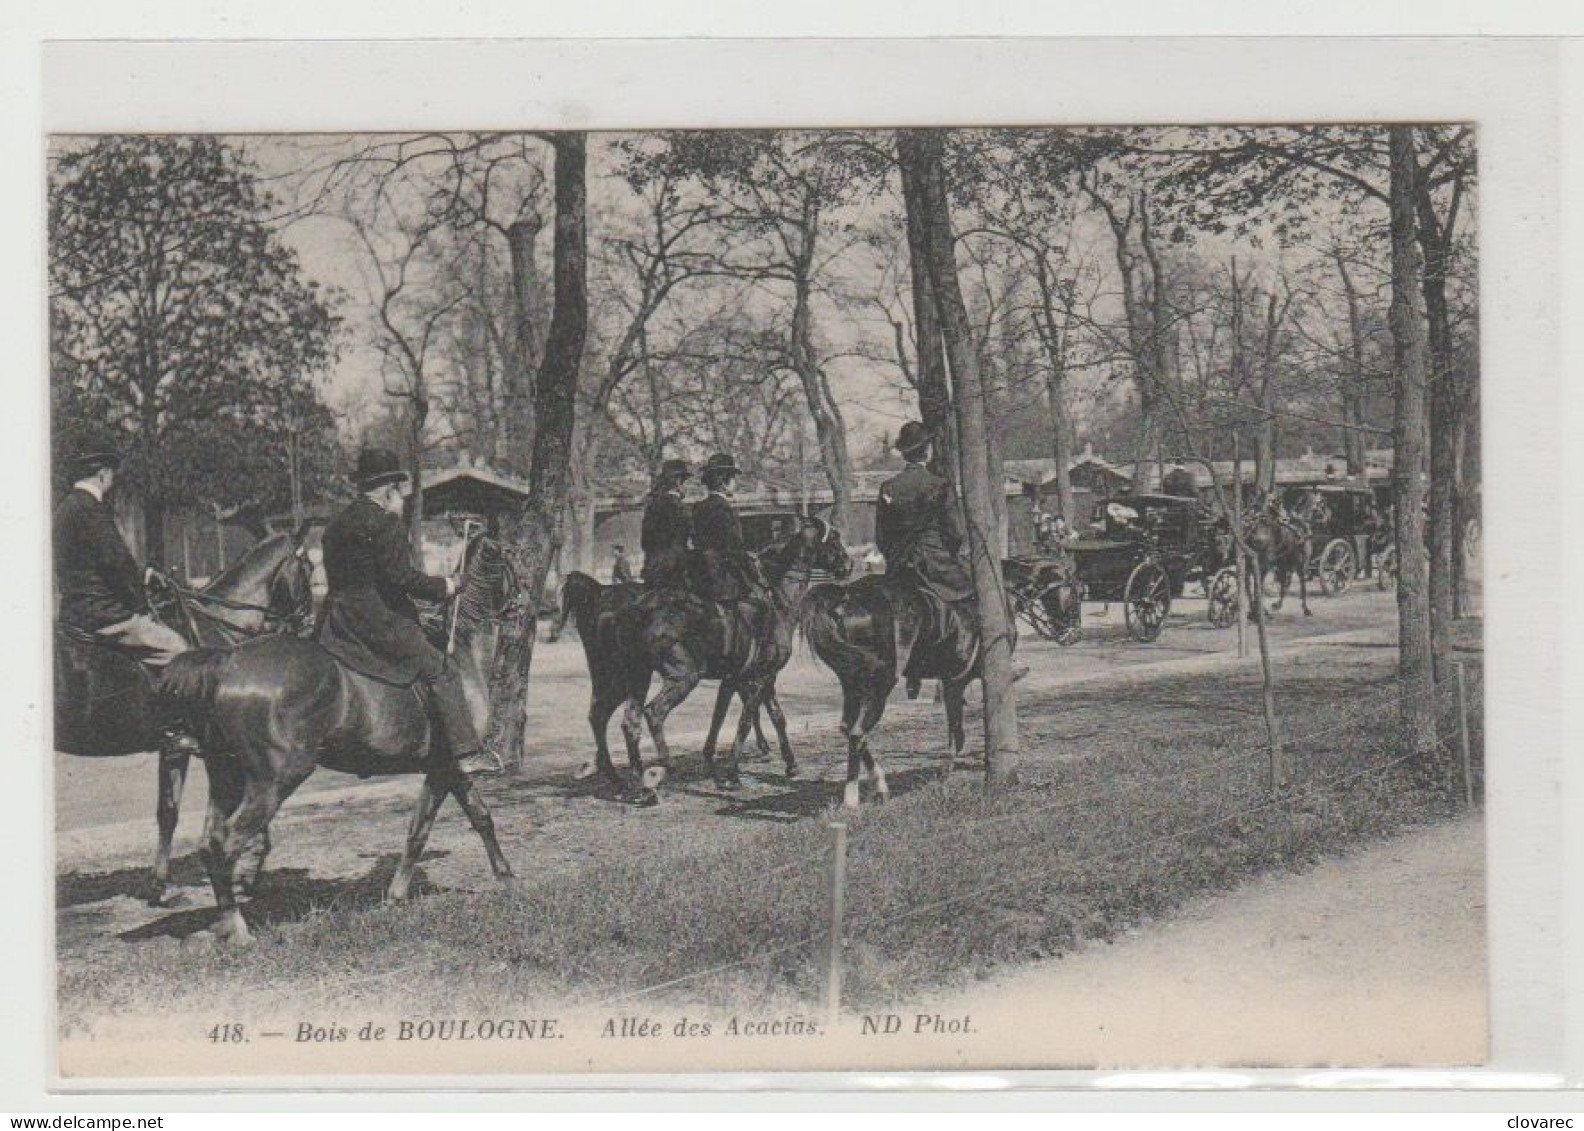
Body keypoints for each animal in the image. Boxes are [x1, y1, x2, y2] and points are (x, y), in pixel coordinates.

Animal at [53, 529, 312, 899]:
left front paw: (160, 882)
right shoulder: (213, 748)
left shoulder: (177, 748)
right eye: (308, 568)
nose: (306, 628)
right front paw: (247, 869)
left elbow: (168, 811)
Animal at [154, 522, 516, 937]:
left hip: (227, 774)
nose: (523, 606)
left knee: (209, 842)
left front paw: (406, 894)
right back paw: (238, 928)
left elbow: (449, 824)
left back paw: (224, 922)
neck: (462, 648)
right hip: (275, 779)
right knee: (226, 841)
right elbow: (446, 825)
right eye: (512, 559)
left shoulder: (444, 768)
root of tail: (227, 660)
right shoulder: (447, 767)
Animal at [560, 516, 849, 792]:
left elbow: (723, 718)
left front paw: (717, 762)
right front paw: (736, 773)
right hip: (682, 677)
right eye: (834, 538)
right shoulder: (761, 677)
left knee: (617, 718)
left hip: (632, 678)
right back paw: (661, 771)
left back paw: (626, 778)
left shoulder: (734, 679)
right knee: (652, 713)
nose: (849, 564)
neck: (775, 601)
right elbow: (754, 718)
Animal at [804, 567, 1013, 804]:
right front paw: (947, 773)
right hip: (880, 684)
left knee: (848, 728)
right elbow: (957, 732)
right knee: (857, 732)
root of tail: (845, 596)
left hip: (851, 683)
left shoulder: (953, 683)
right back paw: (852, 798)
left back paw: (878, 784)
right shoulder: (956, 681)